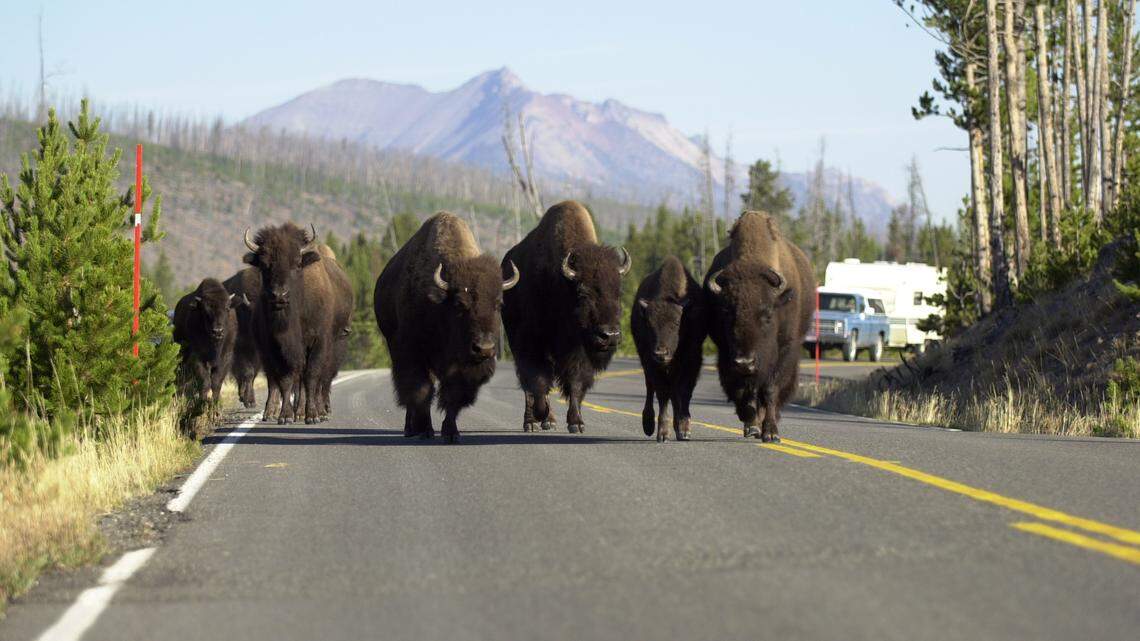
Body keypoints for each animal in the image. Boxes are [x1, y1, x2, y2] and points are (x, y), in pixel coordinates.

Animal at [242, 223, 353, 424]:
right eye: (264, 265)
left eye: (297, 264)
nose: (279, 295)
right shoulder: (277, 348)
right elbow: (285, 379)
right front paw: (285, 416)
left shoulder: (318, 343)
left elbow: (312, 377)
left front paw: (313, 415)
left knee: (319, 380)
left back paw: (319, 411)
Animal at [374, 212, 519, 443]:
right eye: (460, 304)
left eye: (499, 304)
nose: (484, 348)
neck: (441, 306)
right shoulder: (413, 354)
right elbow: (421, 390)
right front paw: (425, 429)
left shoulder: (460, 366)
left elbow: (454, 394)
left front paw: (451, 432)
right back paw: (410, 428)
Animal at [502, 200, 631, 433]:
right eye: (582, 292)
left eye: (619, 292)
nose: (610, 336)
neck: (561, 283)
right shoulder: (534, 342)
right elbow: (538, 381)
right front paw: (543, 415)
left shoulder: (579, 349)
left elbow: (576, 383)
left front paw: (576, 423)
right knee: (528, 386)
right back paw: (533, 422)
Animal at [631, 256, 706, 442]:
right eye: (649, 324)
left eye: (677, 323)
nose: (661, 353)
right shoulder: (650, 360)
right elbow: (663, 393)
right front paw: (663, 433)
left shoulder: (692, 358)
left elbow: (683, 390)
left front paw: (684, 430)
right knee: (651, 387)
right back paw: (648, 424)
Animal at [704, 211, 814, 442]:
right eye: (726, 312)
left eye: (767, 315)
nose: (745, 362)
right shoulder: (726, 355)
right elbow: (742, 391)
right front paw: (751, 424)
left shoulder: (783, 351)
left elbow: (771, 389)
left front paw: (771, 432)